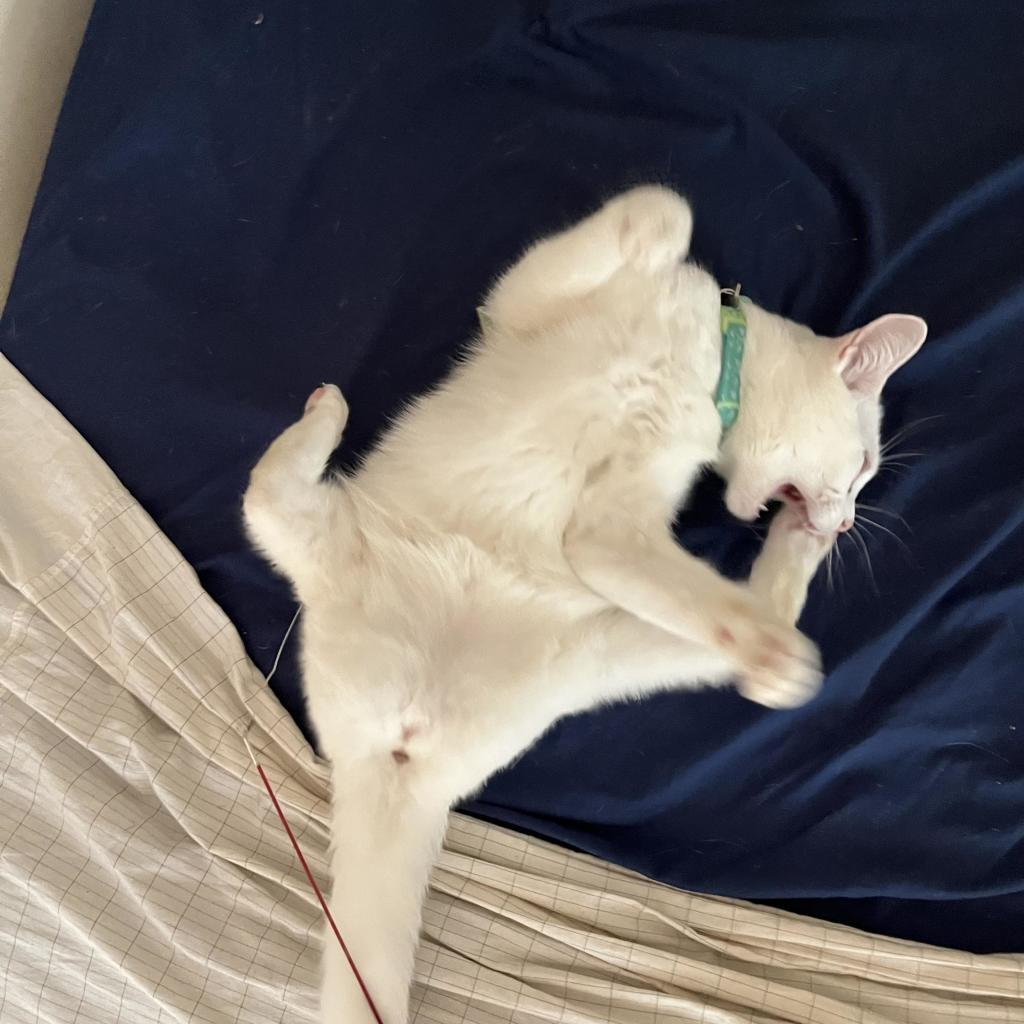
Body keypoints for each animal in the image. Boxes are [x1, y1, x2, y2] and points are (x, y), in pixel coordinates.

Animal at [241, 186, 929, 1024]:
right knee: (264, 492)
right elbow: (666, 209)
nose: (846, 521)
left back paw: (779, 644)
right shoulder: (520, 311)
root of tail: (401, 757)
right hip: (332, 544)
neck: (706, 372)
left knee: (748, 612)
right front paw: (671, 248)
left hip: (606, 649)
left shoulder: (607, 532)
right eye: (862, 465)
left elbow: (664, 211)